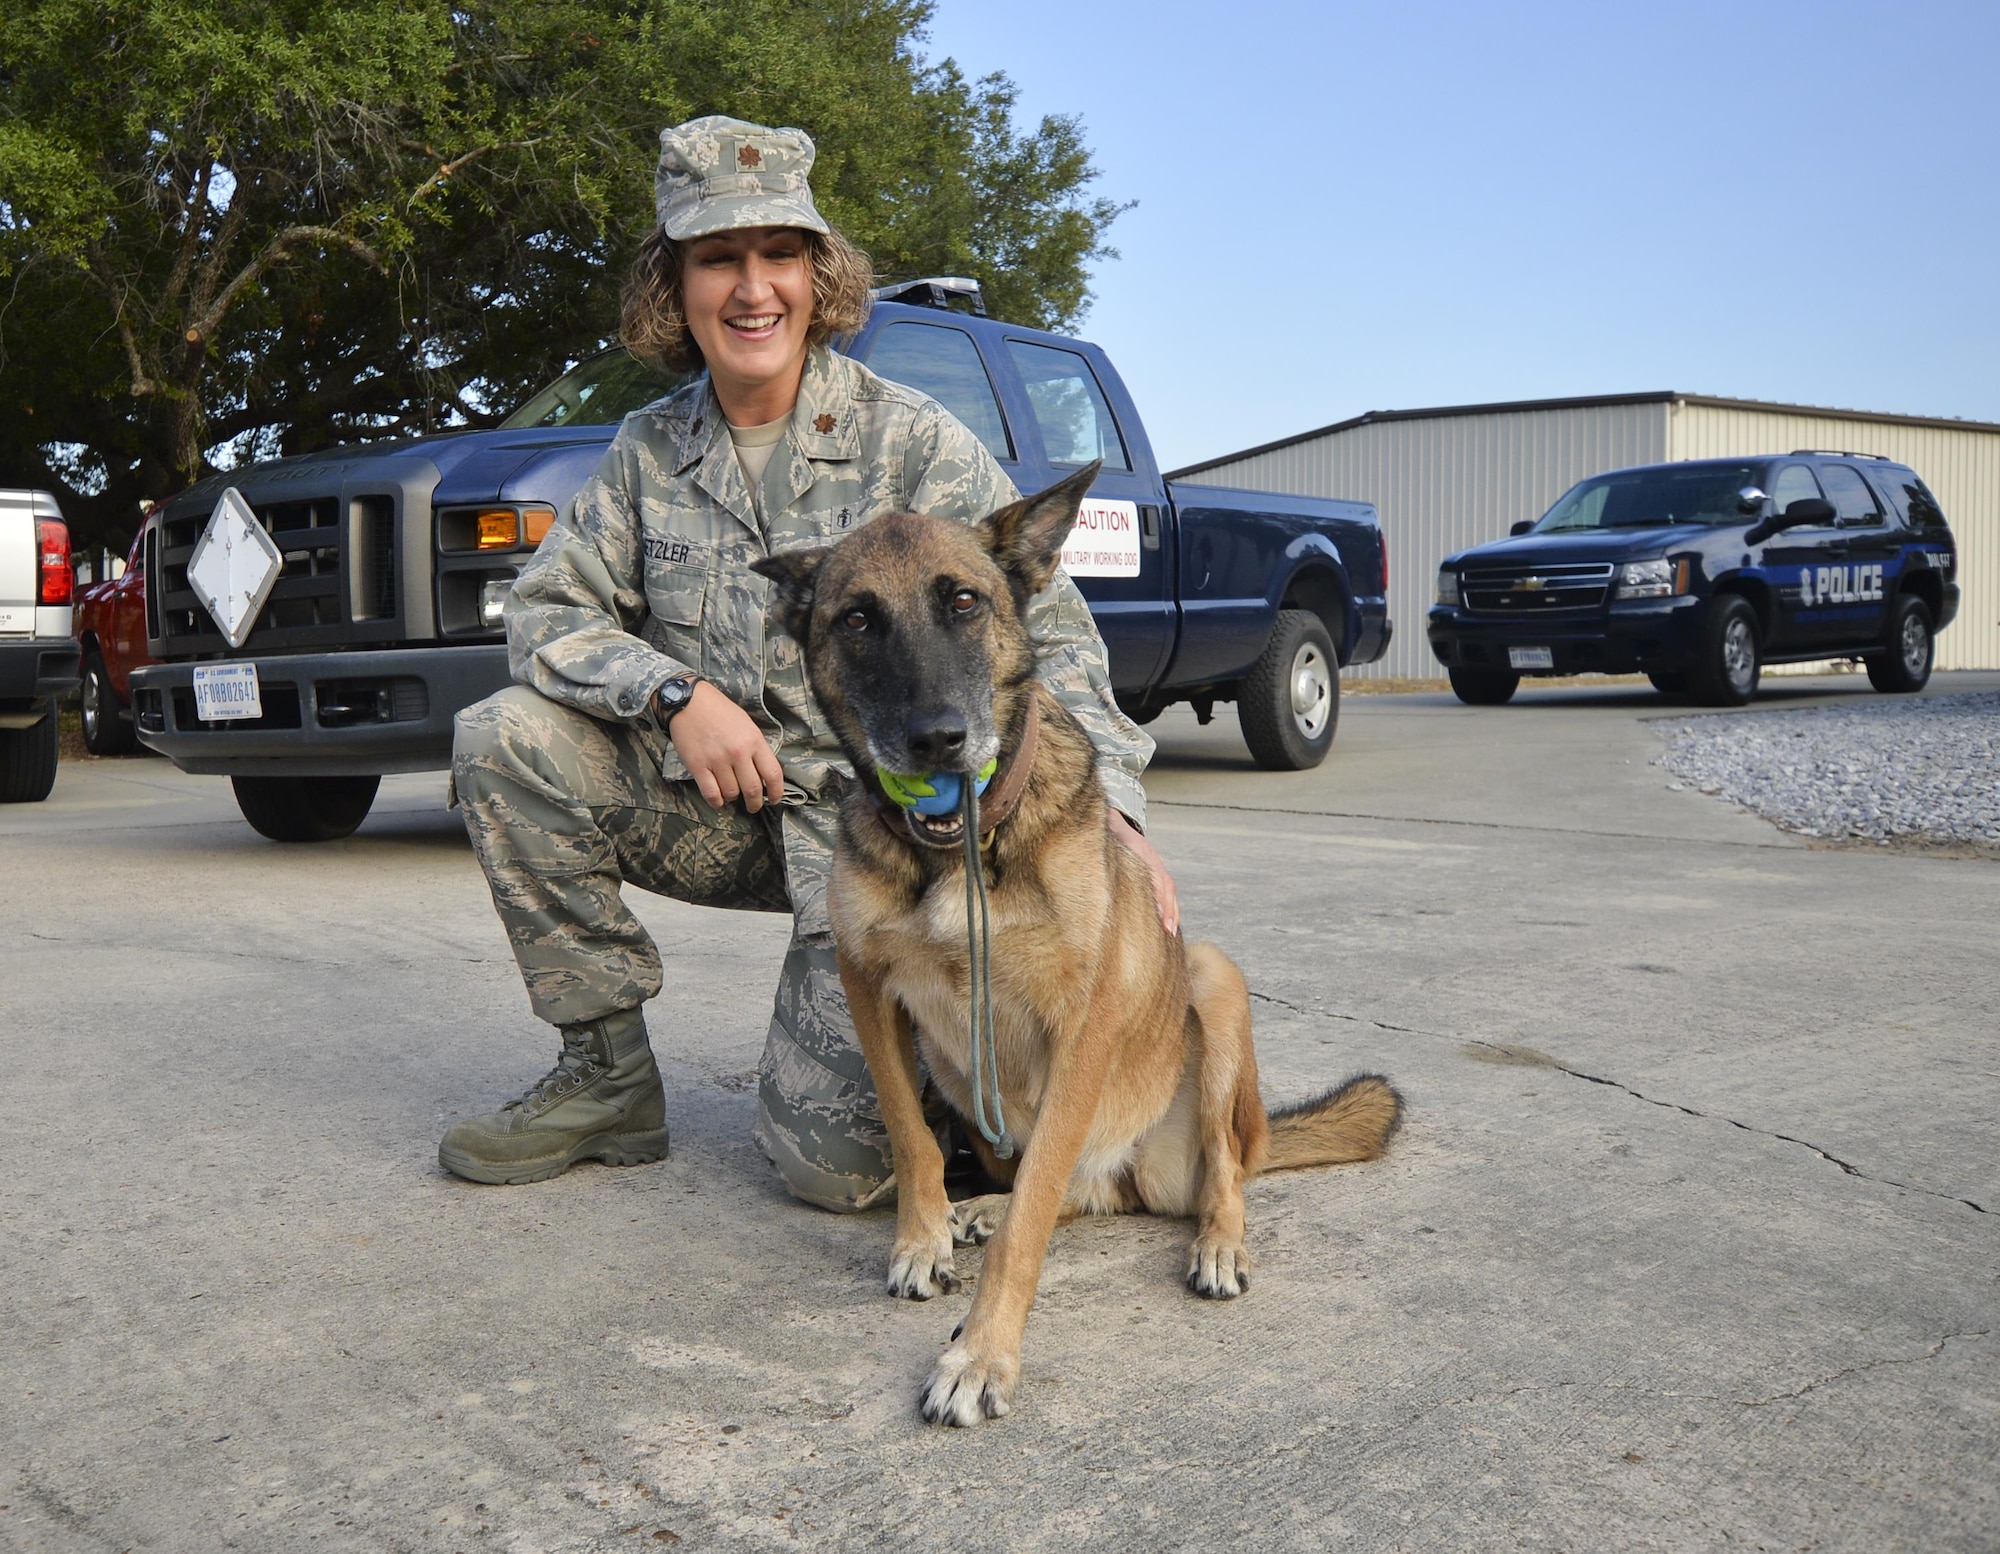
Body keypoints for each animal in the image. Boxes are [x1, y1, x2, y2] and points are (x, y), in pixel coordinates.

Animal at [752, 458, 1408, 1416]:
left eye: (964, 601)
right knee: (1068, 1185)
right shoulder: (866, 985)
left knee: (1219, 1173)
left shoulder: (1083, 1026)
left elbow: (1031, 1219)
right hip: (974, 1082)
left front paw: (981, 1355)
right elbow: (914, 1138)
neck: (963, 849)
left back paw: (1217, 1243)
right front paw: (922, 1240)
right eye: (858, 619)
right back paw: (978, 1209)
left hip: (1211, 981)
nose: (939, 740)